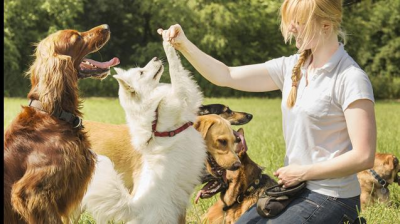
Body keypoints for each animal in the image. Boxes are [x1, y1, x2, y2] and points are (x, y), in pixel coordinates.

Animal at [81, 41, 206, 222]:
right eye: (141, 72)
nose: (155, 57)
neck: (154, 109)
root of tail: (135, 207)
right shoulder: (183, 96)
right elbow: (175, 68)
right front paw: (168, 43)